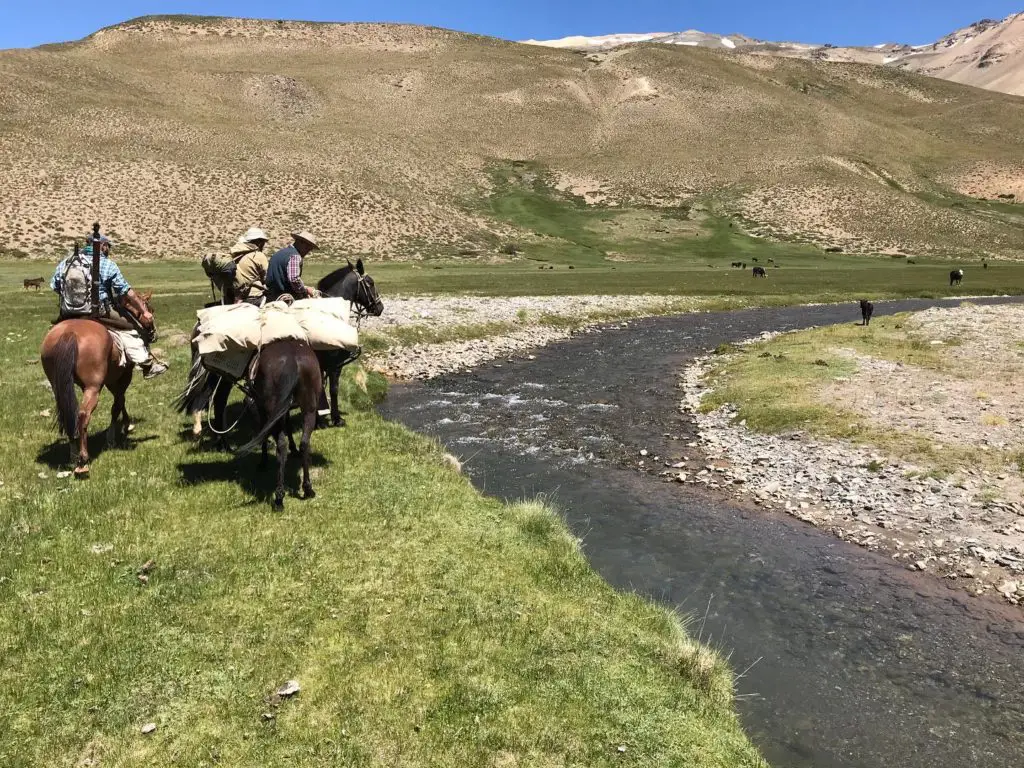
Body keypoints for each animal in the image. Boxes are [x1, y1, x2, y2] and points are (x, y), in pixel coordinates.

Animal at [39, 292, 154, 479]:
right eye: (150, 309)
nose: (152, 331)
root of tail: (69, 332)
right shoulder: (124, 375)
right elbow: (118, 403)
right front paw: (115, 434)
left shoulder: (110, 379)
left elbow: (119, 401)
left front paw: (125, 424)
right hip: (93, 387)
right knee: (83, 414)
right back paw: (83, 460)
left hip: (59, 385)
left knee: (67, 412)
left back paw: (73, 453)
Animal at [234, 342, 321, 512]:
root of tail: (293, 361)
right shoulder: (284, 408)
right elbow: (288, 426)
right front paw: (293, 449)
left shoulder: (260, 409)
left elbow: (263, 434)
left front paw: (263, 462)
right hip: (309, 408)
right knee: (304, 443)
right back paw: (308, 489)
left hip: (271, 407)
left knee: (281, 446)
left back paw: (279, 498)